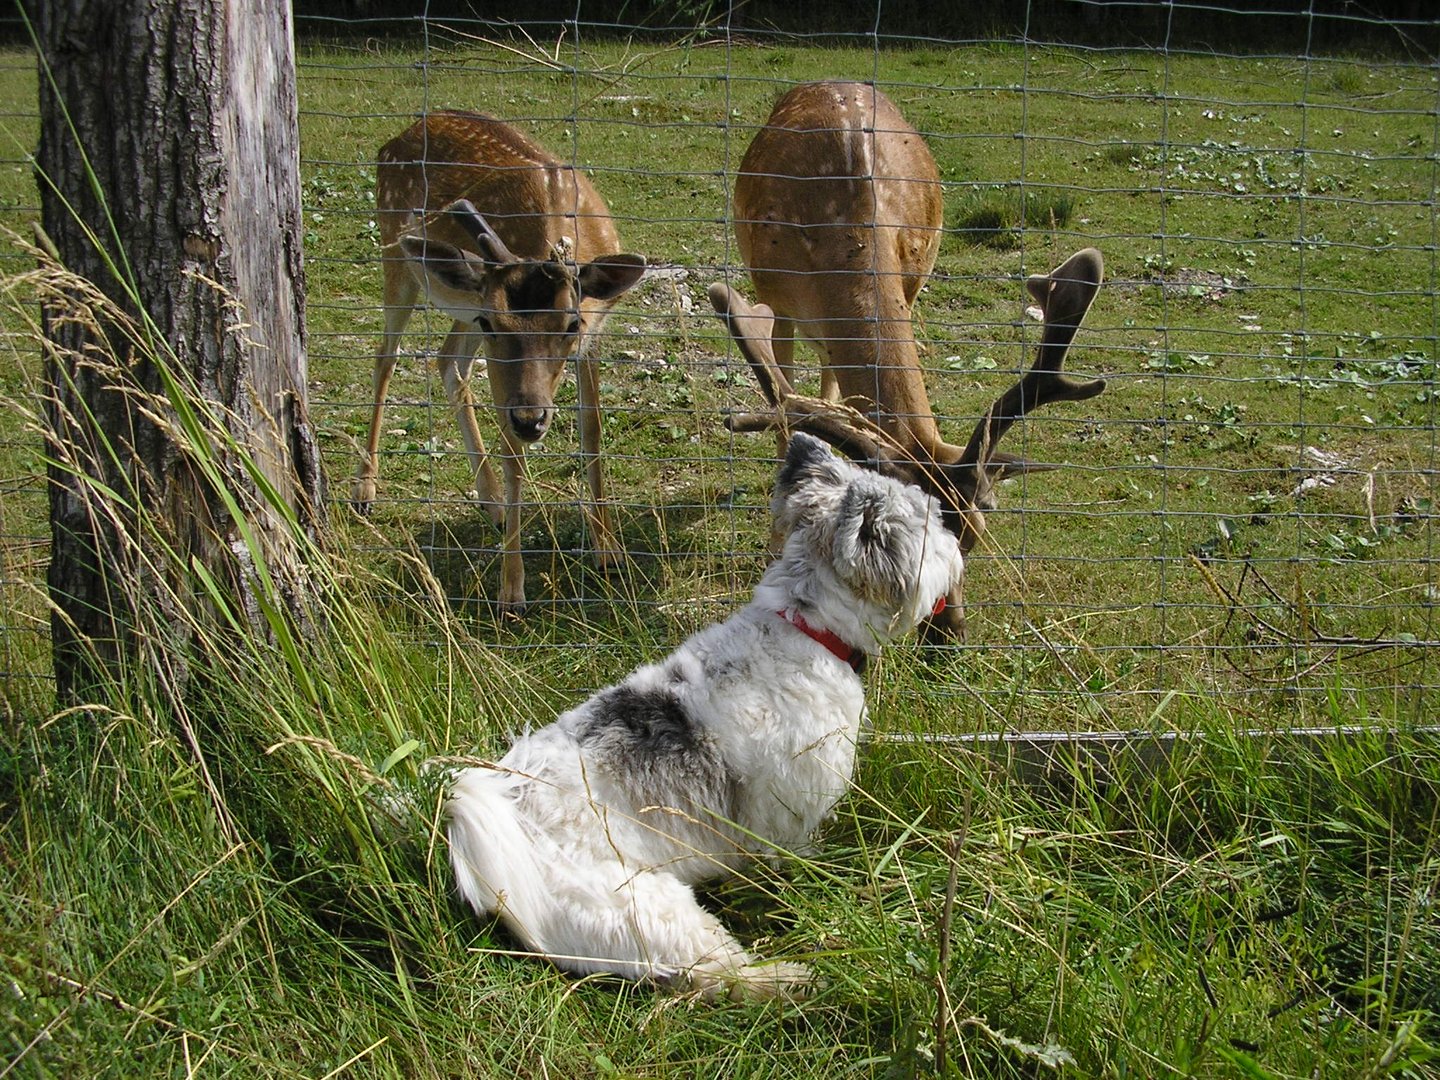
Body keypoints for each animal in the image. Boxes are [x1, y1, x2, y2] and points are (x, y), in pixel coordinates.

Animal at [360, 115, 648, 616]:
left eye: (571, 323)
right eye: (495, 322)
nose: (531, 419)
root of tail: (397, 137)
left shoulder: (593, 335)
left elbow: (592, 429)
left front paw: (608, 549)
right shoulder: (497, 355)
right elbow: (514, 455)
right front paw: (511, 590)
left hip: (458, 306)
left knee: (447, 360)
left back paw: (490, 501)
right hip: (397, 256)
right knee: (386, 357)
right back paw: (367, 491)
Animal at [446, 434, 967, 1002]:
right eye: (932, 522)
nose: (958, 544)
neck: (806, 626)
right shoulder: (789, 821)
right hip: (649, 912)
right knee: (721, 975)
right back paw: (796, 979)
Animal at [708, 86, 1100, 642]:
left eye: (975, 536)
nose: (949, 635)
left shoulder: (911, 287)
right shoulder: (773, 298)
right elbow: (784, 413)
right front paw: (776, 543)